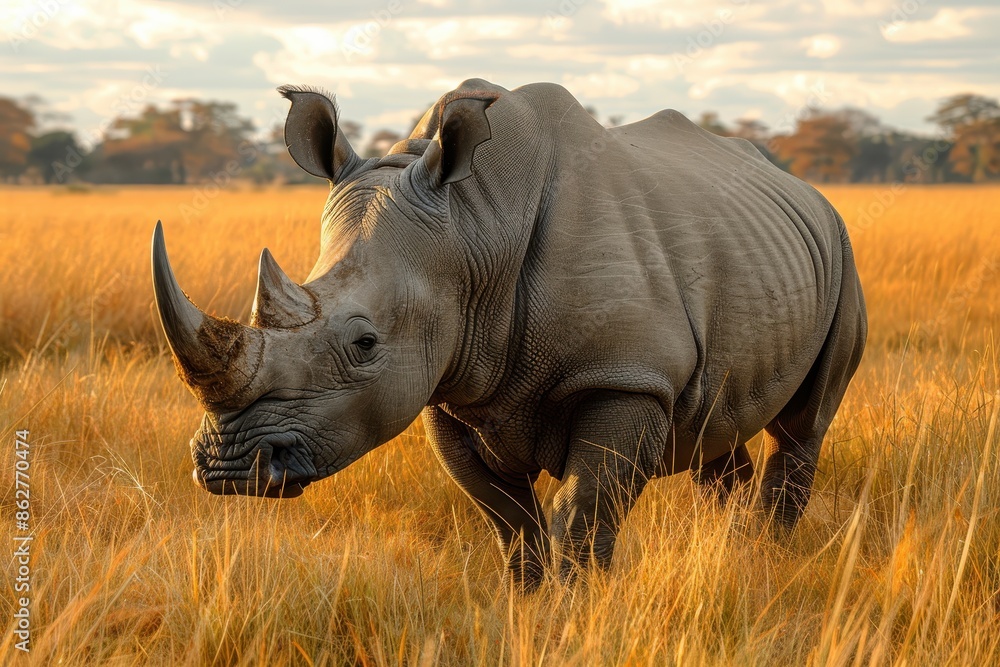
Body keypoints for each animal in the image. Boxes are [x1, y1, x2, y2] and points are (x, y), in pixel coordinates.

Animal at [151, 78, 867, 589]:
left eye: (364, 344)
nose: (228, 467)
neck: (474, 229)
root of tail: (800, 184)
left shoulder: (625, 376)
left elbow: (582, 517)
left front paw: (579, 612)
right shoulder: (450, 386)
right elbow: (510, 525)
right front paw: (529, 606)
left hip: (841, 248)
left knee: (802, 426)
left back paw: (766, 562)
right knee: (716, 431)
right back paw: (735, 553)